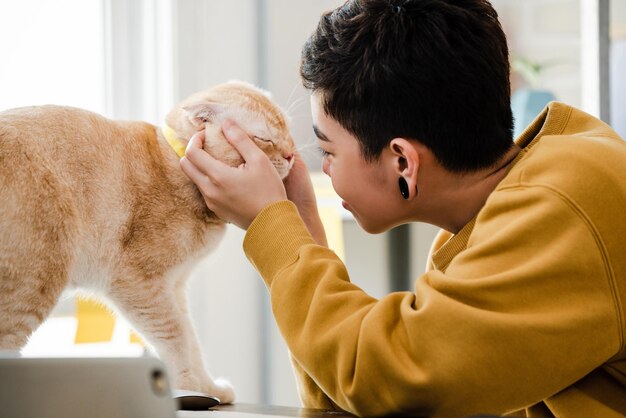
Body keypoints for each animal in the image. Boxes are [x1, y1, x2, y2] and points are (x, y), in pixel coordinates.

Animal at [0, 80, 294, 404]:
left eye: (287, 131)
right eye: (263, 138)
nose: (292, 154)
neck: (176, 163)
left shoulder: (175, 286)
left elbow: (192, 341)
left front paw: (207, 388)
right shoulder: (139, 283)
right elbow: (175, 336)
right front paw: (188, 386)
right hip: (34, 280)